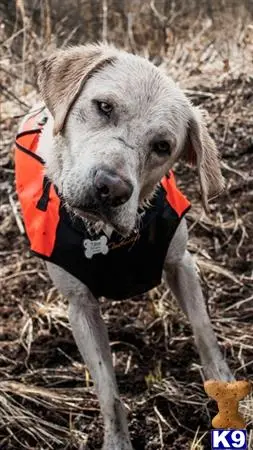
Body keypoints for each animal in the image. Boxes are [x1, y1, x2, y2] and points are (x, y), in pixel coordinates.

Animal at [14, 43, 233, 450]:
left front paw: (229, 397)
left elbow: (205, 334)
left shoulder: (181, 264)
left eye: (162, 146)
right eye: (104, 107)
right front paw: (117, 441)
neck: (108, 236)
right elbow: (108, 391)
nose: (111, 189)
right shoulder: (80, 306)